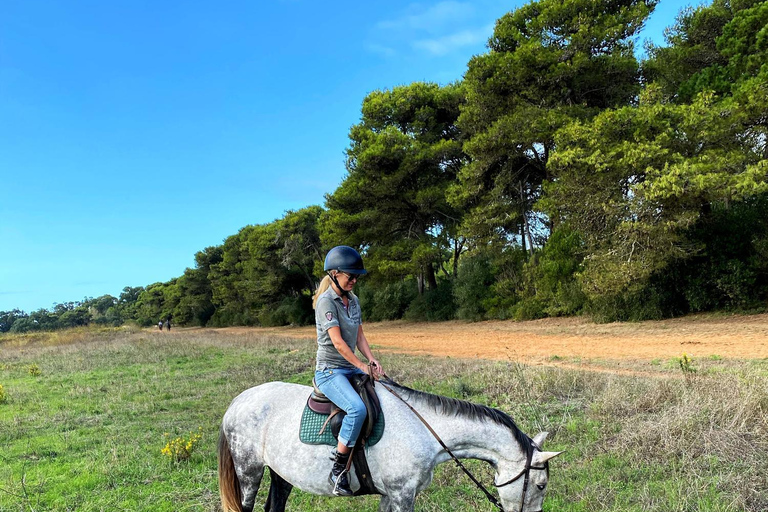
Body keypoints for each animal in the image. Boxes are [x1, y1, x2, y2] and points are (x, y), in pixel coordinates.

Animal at [218, 379, 562, 512]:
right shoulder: (401, 494)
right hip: (249, 471)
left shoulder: (389, 495)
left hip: (281, 473)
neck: (426, 431)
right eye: (541, 485)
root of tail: (238, 401)